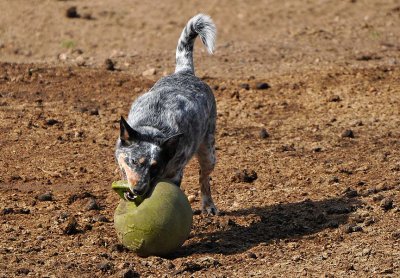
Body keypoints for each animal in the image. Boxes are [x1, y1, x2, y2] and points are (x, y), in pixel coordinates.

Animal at [115, 13, 219, 215]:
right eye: (133, 161)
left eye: (155, 167)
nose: (139, 189)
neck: (154, 128)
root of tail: (185, 71)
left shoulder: (175, 174)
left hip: (209, 153)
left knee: (204, 178)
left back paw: (208, 205)